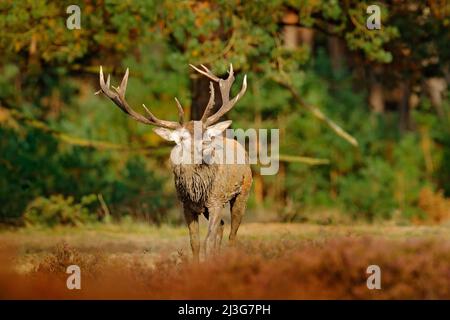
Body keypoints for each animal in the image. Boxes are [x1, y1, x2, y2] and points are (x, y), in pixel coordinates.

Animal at [96, 63, 251, 262]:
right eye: (183, 138)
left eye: (206, 134)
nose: (208, 147)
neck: (196, 190)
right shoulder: (186, 205)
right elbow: (195, 242)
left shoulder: (216, 200)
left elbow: (207, 240)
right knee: (223, 226)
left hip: (243, 191)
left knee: (233, 233)